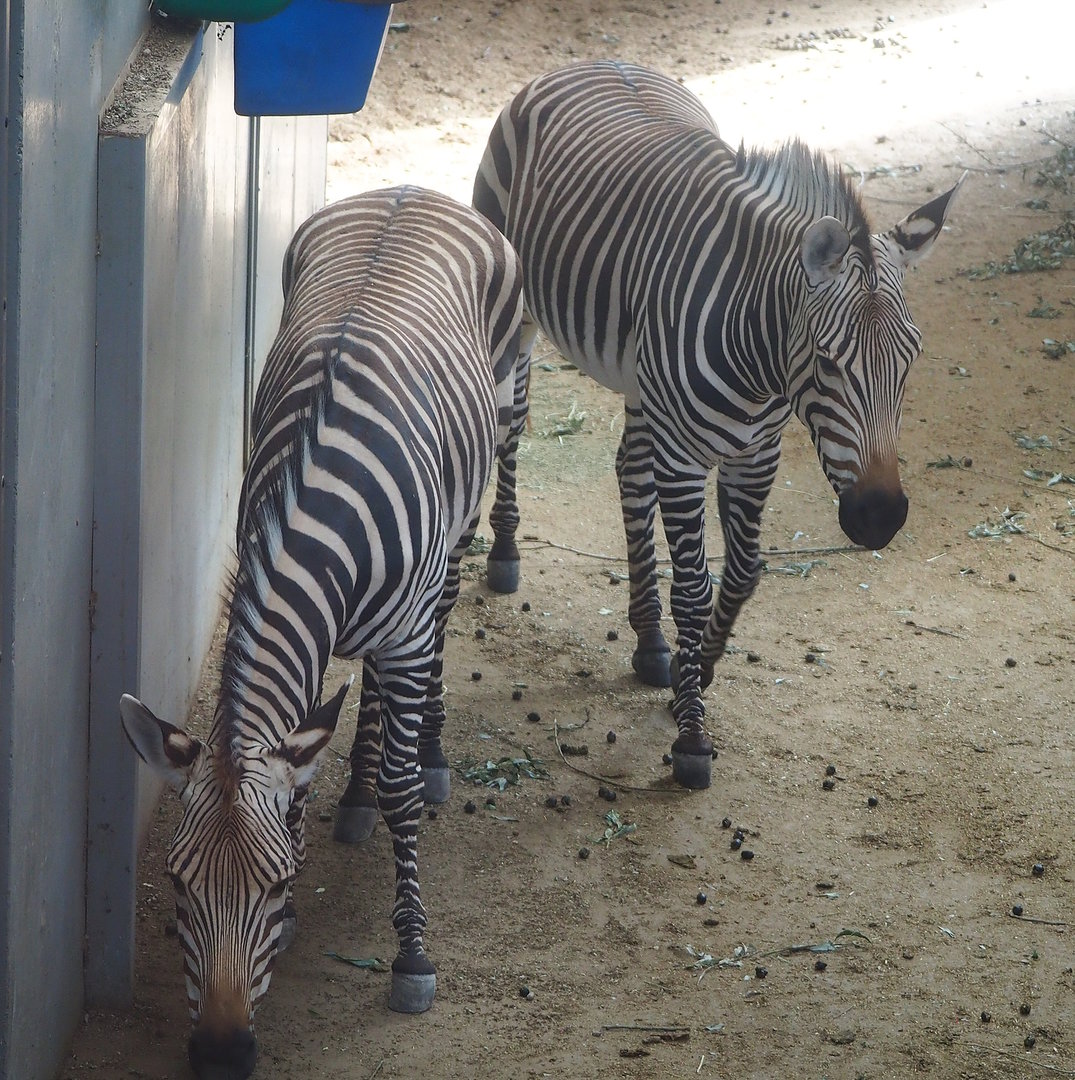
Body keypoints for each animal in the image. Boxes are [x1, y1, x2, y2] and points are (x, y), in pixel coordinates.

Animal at [120, 185, 525, 1080]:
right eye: (178, 886)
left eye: (272, 887)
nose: (222, 1058)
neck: (315, 513)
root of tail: (409, 189)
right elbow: (306, 746)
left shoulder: (406, 630)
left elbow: (402, 787)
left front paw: (412, 957)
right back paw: (356, 796)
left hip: (481, 473)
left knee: (442, 613)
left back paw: (425, 753)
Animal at [473, 60, 963, 791]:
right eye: (827, 361)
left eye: (912, 359)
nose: (878, 518)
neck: (762, 362)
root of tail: (599, 62)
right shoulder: (684, 458)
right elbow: (695, 589)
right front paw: (691, 737)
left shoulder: (754, 453)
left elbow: (744, 574)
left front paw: (692, 669)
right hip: (518, 312)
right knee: (511, 426)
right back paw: (503, 553)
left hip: (643, 380)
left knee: (628, 470)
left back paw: (649, 642)